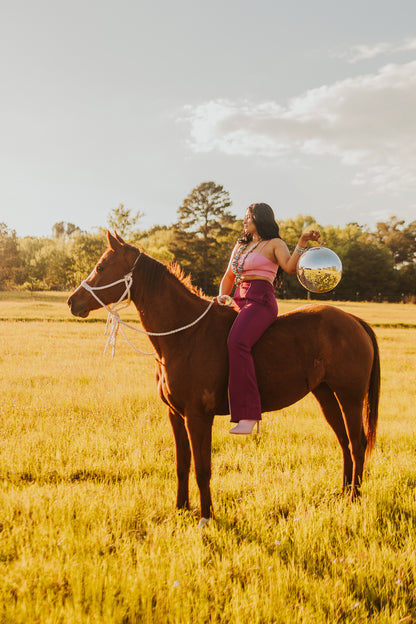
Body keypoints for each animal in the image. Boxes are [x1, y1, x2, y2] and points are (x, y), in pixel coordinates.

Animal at [67, 232, 380, 524]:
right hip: (326, 395)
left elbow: (202, 469)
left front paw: (206, 516)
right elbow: (182, 465)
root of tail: (354, 321)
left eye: (101, 266)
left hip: (351, 398)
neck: (186, 335)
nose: (72, 301)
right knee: (344, 442)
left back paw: (354, 497)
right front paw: (181, 509)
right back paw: (342, 492)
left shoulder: (198, 417)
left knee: (357, 443)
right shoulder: (175, 415)